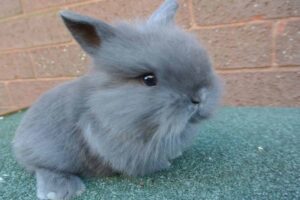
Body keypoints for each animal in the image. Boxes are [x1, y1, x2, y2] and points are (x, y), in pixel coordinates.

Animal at [12, 0, 221, 199]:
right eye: (148, 79)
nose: (199, 98)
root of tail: (19, 140)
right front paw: (165, 163)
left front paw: (175, 153)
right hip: (51, 153)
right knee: (42, 167)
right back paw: (60, 191)